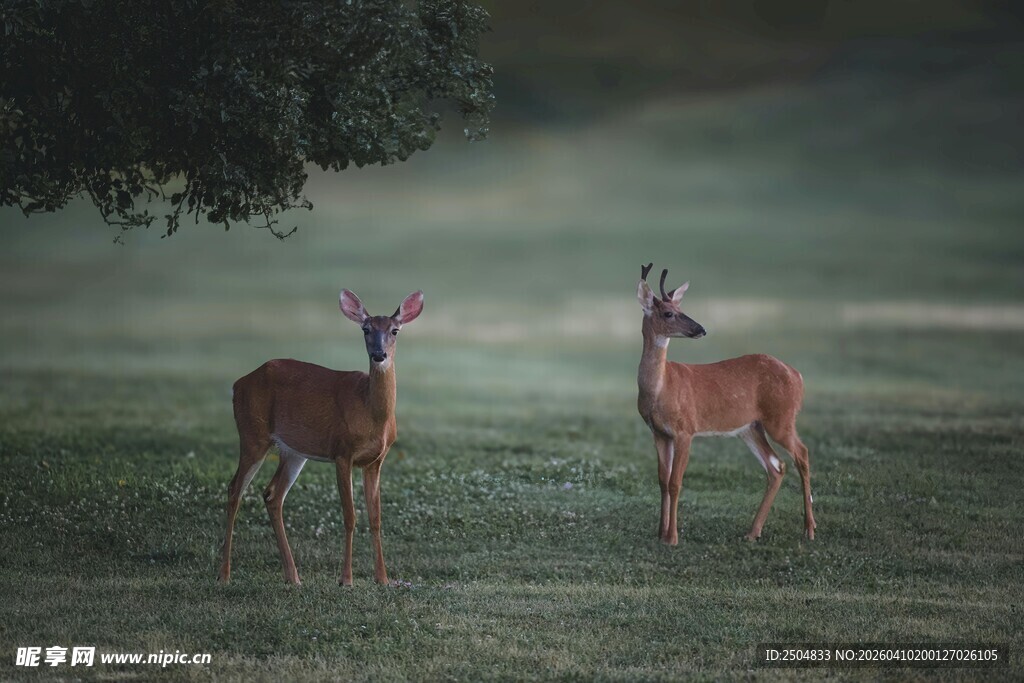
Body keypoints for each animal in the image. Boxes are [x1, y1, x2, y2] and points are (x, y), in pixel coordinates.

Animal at [218, 289, 424, 586]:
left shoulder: (376, 461)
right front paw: (346, 579)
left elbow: (376, 518)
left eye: (394, 330)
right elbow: (350, 516)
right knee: (235, 489)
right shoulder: (342, 452)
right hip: (252, 434)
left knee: (272, 494)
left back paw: (293, 577)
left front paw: (382, 579)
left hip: (293, 452)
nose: (379, 354)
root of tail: (238, 384)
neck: (372, 414)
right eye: (365, 329)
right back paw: (224, 574)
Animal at [636, 264, 815, 546]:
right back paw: (753, 532)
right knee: (776, 466)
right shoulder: (659, 432)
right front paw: (660, 533)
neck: (660, 388)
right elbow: (663, 481)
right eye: (668, 313)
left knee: (802, 454)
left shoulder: (686, 429)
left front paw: (672, 537)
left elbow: (676, 482)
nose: (701, 329)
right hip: (750, 428)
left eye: (681, 308)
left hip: (781, 418)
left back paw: (809, 529)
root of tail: (797, 375)